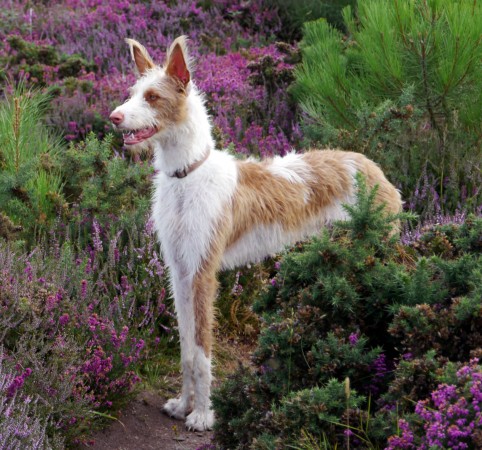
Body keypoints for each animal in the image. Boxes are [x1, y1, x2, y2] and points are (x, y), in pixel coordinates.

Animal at [110, 37, 402, 430]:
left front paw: (202, 414)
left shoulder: (203, 274)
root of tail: (372, 166)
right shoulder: (179, 272)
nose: (114, 117)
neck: (187, 175)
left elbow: (202, 352)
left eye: (153, 97)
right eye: (133, 93)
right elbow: (187, 350)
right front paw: (184, 404)